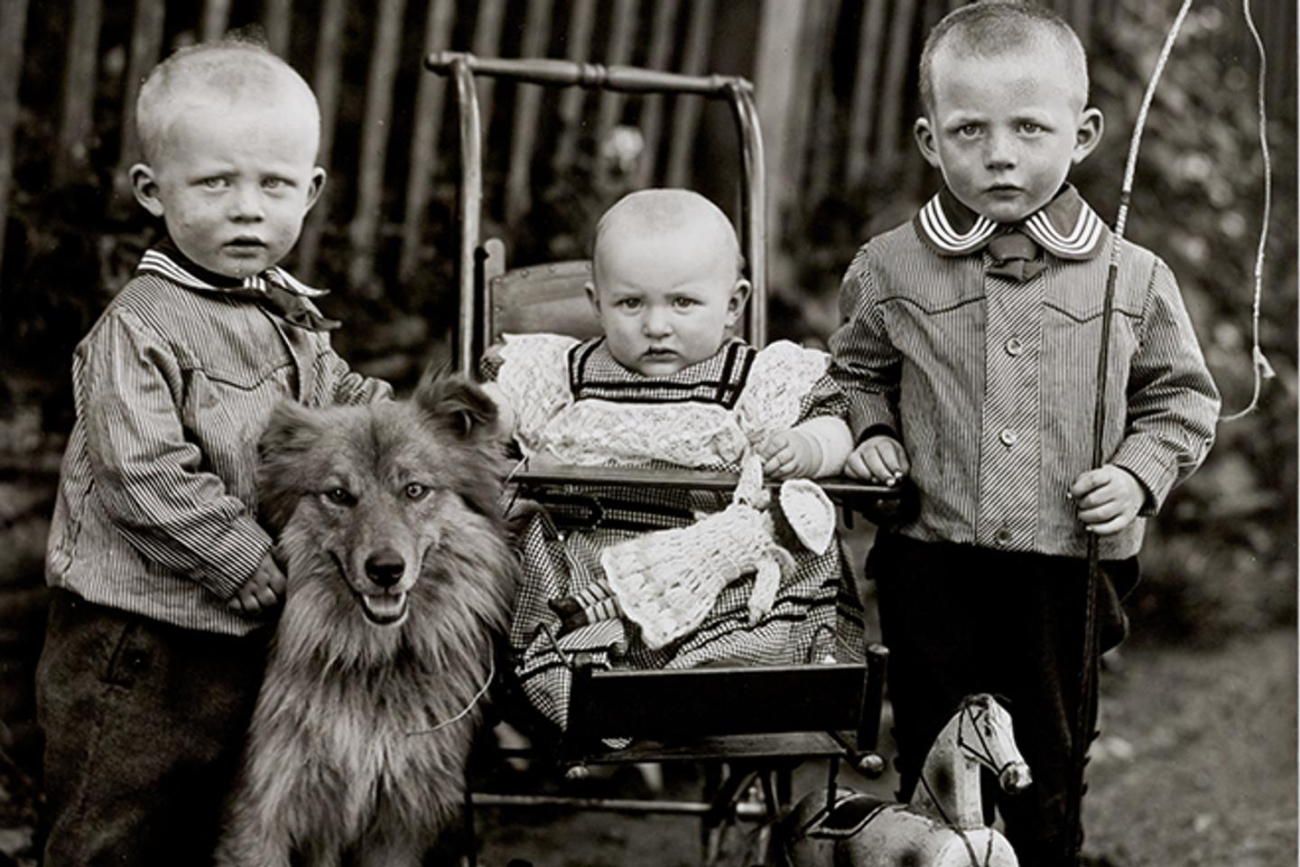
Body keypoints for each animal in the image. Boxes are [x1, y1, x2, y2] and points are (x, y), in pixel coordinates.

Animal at [213, 376, 517, 867]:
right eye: (338, 495)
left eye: (414, 490)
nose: (386, 570)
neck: (371, 664)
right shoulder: (257, 813)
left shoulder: (398, 821)